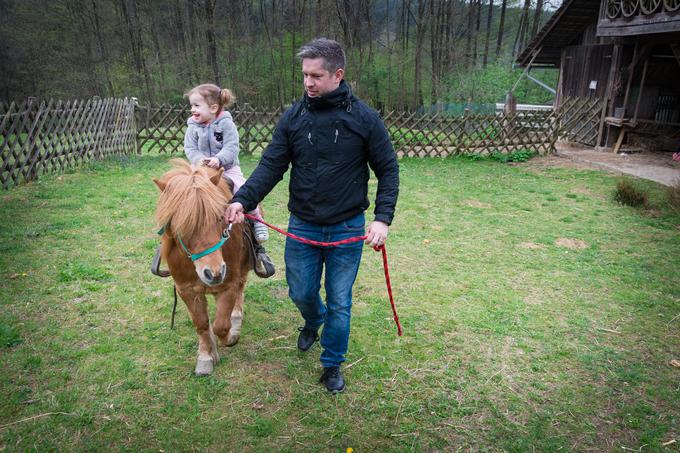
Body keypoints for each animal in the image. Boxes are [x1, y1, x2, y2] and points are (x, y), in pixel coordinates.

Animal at [153, 158, 251, 374]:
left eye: (220, 218)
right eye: (181, 225)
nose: (214, 273)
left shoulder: (228, 285)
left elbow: (221, 325)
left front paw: (230, 337)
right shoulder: (187, 290)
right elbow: (201, 324)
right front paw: (207, 355)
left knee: (241, 287)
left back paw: (236, 317)